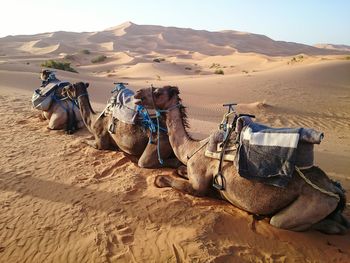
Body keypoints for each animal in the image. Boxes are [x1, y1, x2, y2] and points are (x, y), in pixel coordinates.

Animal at [134, 85, 350, 234]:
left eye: (158, 92)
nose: (137, 94)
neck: (192, 148)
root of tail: (333, 188)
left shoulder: (198, 186)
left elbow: (163, 179)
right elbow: (180, 169)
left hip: (316, 203)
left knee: (289, 222)